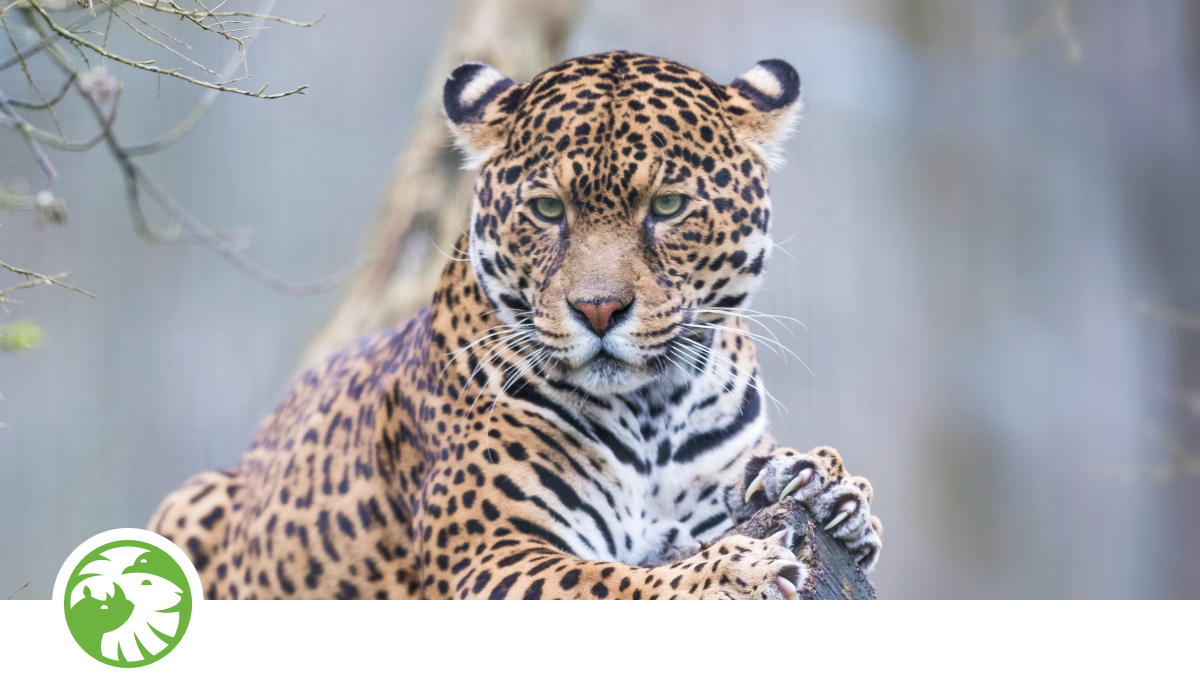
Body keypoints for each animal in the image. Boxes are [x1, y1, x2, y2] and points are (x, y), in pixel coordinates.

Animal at [147, 50, 883, 605]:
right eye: (548, 210)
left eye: (669, 206)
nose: (598, 309)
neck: (650, 406)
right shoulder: (491, 555)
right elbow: (614, 585)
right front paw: (739, 571)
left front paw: (821, 485)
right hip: (185, 505)